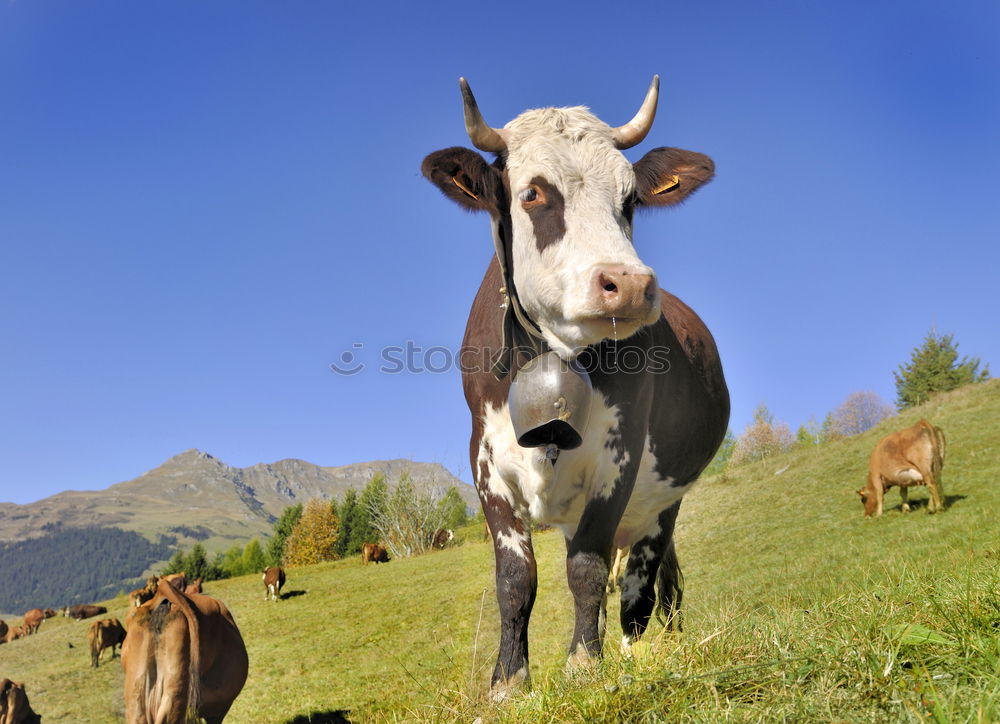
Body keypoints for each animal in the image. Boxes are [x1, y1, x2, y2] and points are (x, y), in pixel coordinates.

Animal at [418, 76, 732, 700]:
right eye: (534, 193)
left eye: (630, 199)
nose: (629, 284)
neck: (554, 350)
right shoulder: (486, 461)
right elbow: (516, 578)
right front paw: (508, 681)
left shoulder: (619, 459)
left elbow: (587, 569)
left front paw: (585, 666)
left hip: (663, 504)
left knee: (640, 587)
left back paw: (634, 658)